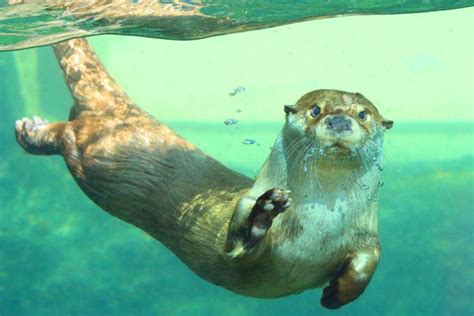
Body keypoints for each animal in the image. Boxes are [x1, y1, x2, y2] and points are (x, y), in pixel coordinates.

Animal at [13, 39, 392, 308]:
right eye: (315, 109)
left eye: (363, 114)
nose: (339, 120)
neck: (321, 223)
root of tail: (119, 108)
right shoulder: (246, 215)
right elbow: (237, 245)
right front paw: (263, 213)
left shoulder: (366, 236)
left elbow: (370, 262)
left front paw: (335, 294)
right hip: (93, 158)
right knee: (67, 134)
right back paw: (30, 130)